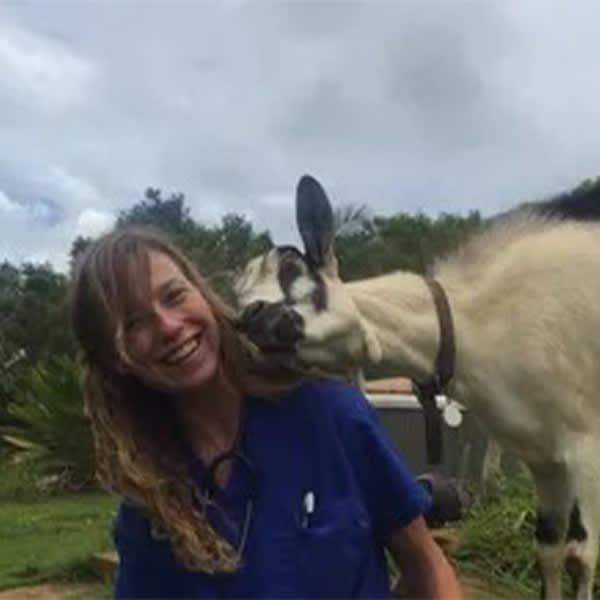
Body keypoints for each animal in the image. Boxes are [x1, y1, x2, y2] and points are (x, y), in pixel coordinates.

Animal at [234, 175, 600, 600]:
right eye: (239, 303)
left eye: (293, 267)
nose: (253, 317)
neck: (474, 324)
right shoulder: (544, 461)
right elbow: (549, 551)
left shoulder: (586, 446)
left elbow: (581, 557)